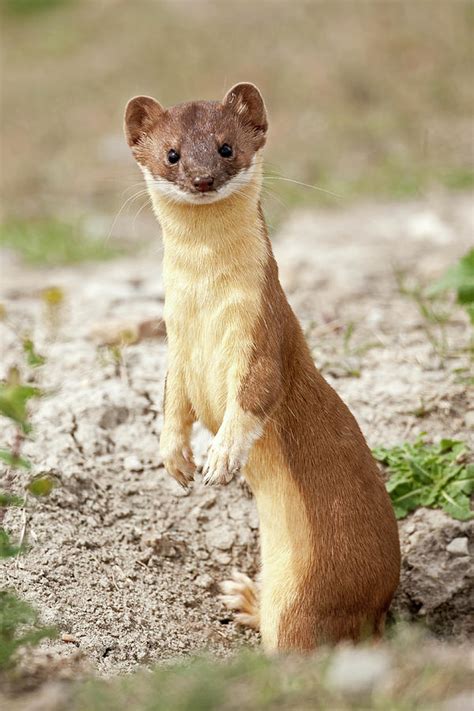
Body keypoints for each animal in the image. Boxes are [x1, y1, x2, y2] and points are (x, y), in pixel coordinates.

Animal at [123, 82, 400, 652]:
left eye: (226, 147)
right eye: (172, 153)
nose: (202, 178)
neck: (205, 312)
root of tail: (379, 608)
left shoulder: (263, 333)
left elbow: (255, 392)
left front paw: (221, 457)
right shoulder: (176, 344)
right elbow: (172, 398)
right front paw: (175, 459)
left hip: (310, 597)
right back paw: (246, 596)